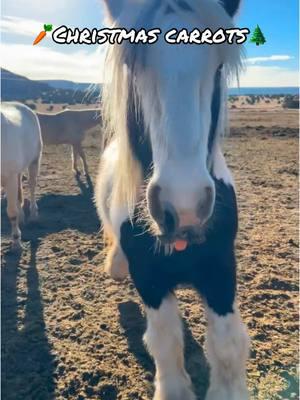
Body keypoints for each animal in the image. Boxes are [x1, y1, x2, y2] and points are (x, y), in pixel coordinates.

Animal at [1, 101, 42, 248]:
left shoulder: (9, 177)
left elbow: (12, 212)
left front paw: (16, 242)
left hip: (34, 161)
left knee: (32, 186)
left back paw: (33, 216)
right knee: (19, 193)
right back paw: (22, 217)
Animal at [95, 0, 248, 400]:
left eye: (219, 66)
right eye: (132, 66)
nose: (184, 207)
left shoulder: (220, 268)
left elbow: (227, 347)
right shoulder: (150, 279)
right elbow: (165, 342)